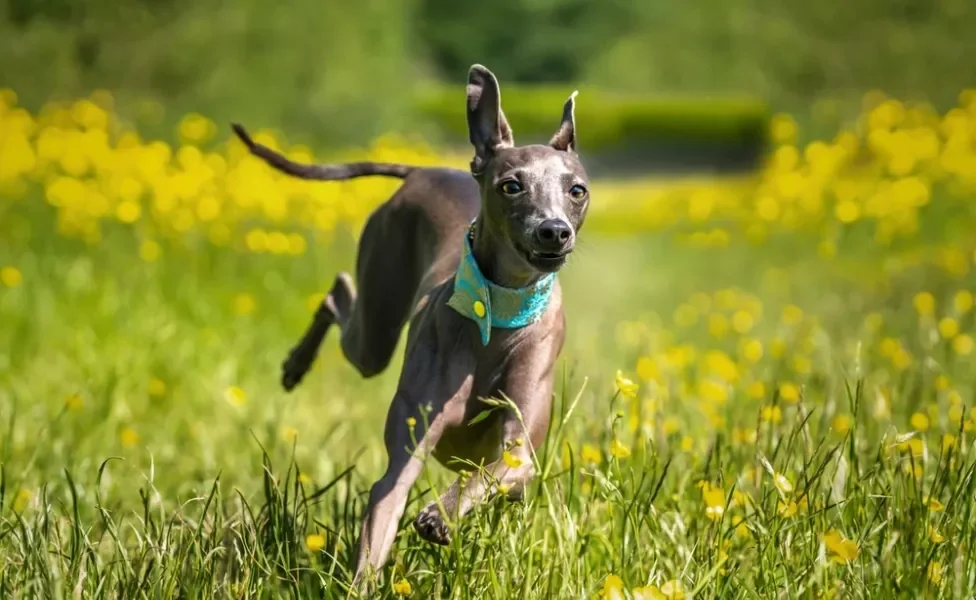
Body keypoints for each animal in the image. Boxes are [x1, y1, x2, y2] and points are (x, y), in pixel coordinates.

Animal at [233, 63, 592, 588]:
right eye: (512, 185)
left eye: (576, 190)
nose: (554, 232)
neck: (498, 313)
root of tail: (423, 172)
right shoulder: (403, 459)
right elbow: (384, 508)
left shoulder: (520, 451)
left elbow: (493, 472)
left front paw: (440, 514)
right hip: (376, 325)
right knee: (339, 294)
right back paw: (296, 364)